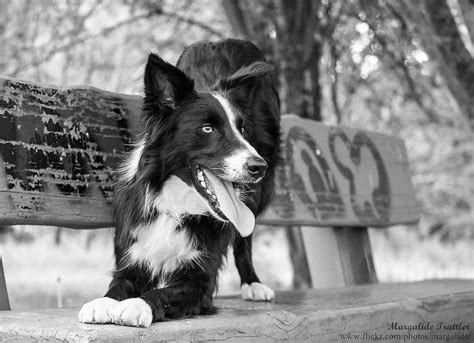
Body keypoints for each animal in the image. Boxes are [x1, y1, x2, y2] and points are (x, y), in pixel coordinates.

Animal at [77, 39, 278, 330]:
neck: (175, 205)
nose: (259, 167)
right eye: (207, 129)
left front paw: (137, 305)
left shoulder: (199, 281)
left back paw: (253, 283)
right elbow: (117, 286)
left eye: (243, 129)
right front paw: (103, 303)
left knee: (245, 238)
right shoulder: (133, 258)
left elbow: (163, 292)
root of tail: (225, 41)